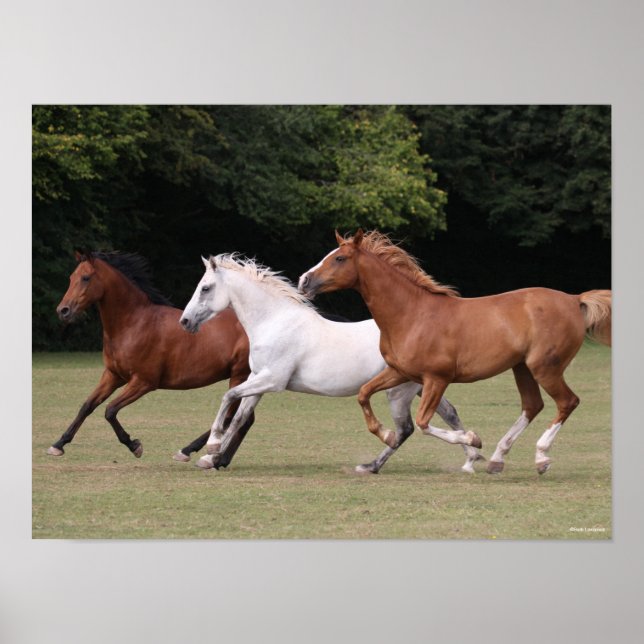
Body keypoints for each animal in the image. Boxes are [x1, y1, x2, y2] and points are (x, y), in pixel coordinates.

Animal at [50, 250, 254, 466]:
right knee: (245, 418)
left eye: (86, 278)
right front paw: (58, 445)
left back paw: (193, 452)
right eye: (71, 278)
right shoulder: (113, 375)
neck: (134, 323)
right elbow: (87, 406)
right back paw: (219, 460)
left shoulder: (144, 382)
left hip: (239, 375)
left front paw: (134, 446)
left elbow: (110, 410)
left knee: (233, 416)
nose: (63, 311)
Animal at [179, 254, 482, 474]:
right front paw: (211, 458)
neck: (274, 322)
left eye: (205, 288)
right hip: (420, 386)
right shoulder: (258, 380)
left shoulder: (272, 380)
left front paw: (211, 447)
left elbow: (228, 397)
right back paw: (470, 455)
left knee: (407, 428)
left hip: (400, 390)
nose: (185, 321)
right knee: (446, 414)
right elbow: (239, 416)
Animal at [298, 230, 611, 474]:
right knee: (532, 405)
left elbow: (424, 423)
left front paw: (473, 441)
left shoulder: (437, 378)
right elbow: (364, 394)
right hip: (522, 367)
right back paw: (497, 459)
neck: (412, 315)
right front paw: (386, 435)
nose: (304, 281)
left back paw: (541, 457)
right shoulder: (400, 372)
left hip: (545, 367)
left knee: (567, 402)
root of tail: (574, 299)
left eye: (339, 258)